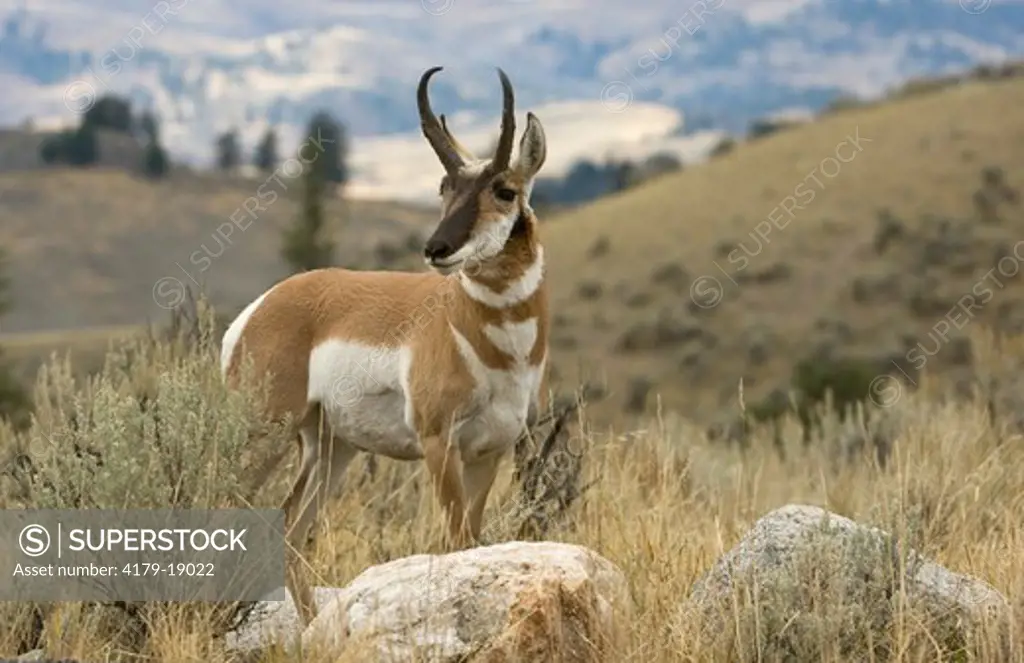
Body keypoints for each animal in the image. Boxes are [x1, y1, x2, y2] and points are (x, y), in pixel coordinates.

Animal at [219, 66, 548, 627]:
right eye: (444, 186)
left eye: (505, 190)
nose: (437, 248)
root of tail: (263, 305)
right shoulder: (440, 446)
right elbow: (457, 542)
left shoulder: (490, 452)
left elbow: (474, 541)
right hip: (264, 433)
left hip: (331, 448)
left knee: (291, 530)